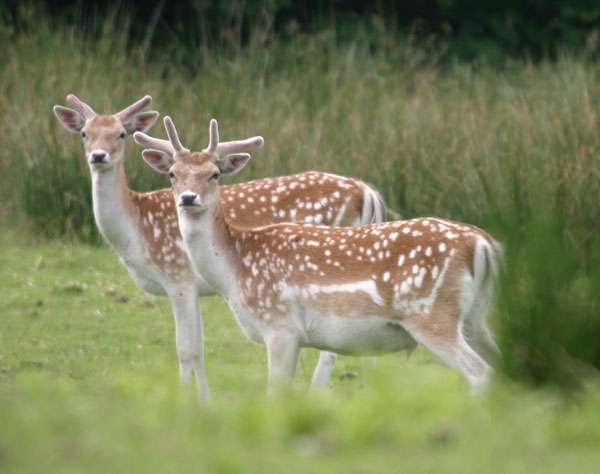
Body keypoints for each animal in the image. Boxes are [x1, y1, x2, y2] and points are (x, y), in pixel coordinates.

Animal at [54, 94, 386, 398]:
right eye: (84, 133)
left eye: (121, 134)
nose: (98, 156)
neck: (135, 232)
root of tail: (366, 190)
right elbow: (199, 347)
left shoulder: (178, 276)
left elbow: (187, 349)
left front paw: (190, 401)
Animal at [138, 115, 500, 392]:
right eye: (172, 174)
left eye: (214, 174)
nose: (188, 198)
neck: (234, 270)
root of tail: (484, 245)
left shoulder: (280, 327)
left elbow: (275, 394)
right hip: (475, 317)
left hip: (432, 315)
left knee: (480, 372)